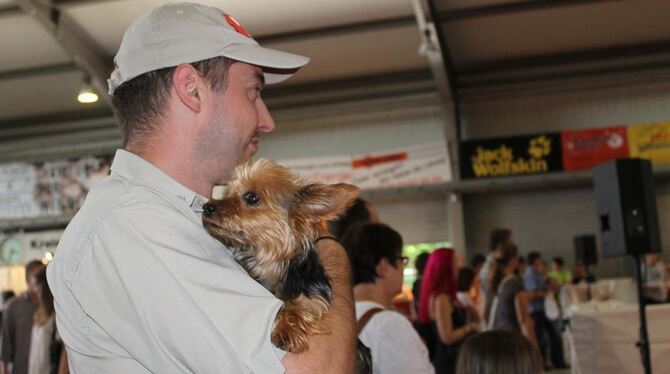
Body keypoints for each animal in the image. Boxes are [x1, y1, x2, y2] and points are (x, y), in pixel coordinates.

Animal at [203, 158, 372, 368]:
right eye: (227, 193)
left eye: (252, 197)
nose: (207, 207)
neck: (269, 260)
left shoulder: (315, 296)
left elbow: (297, 305)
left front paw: (287, 331)